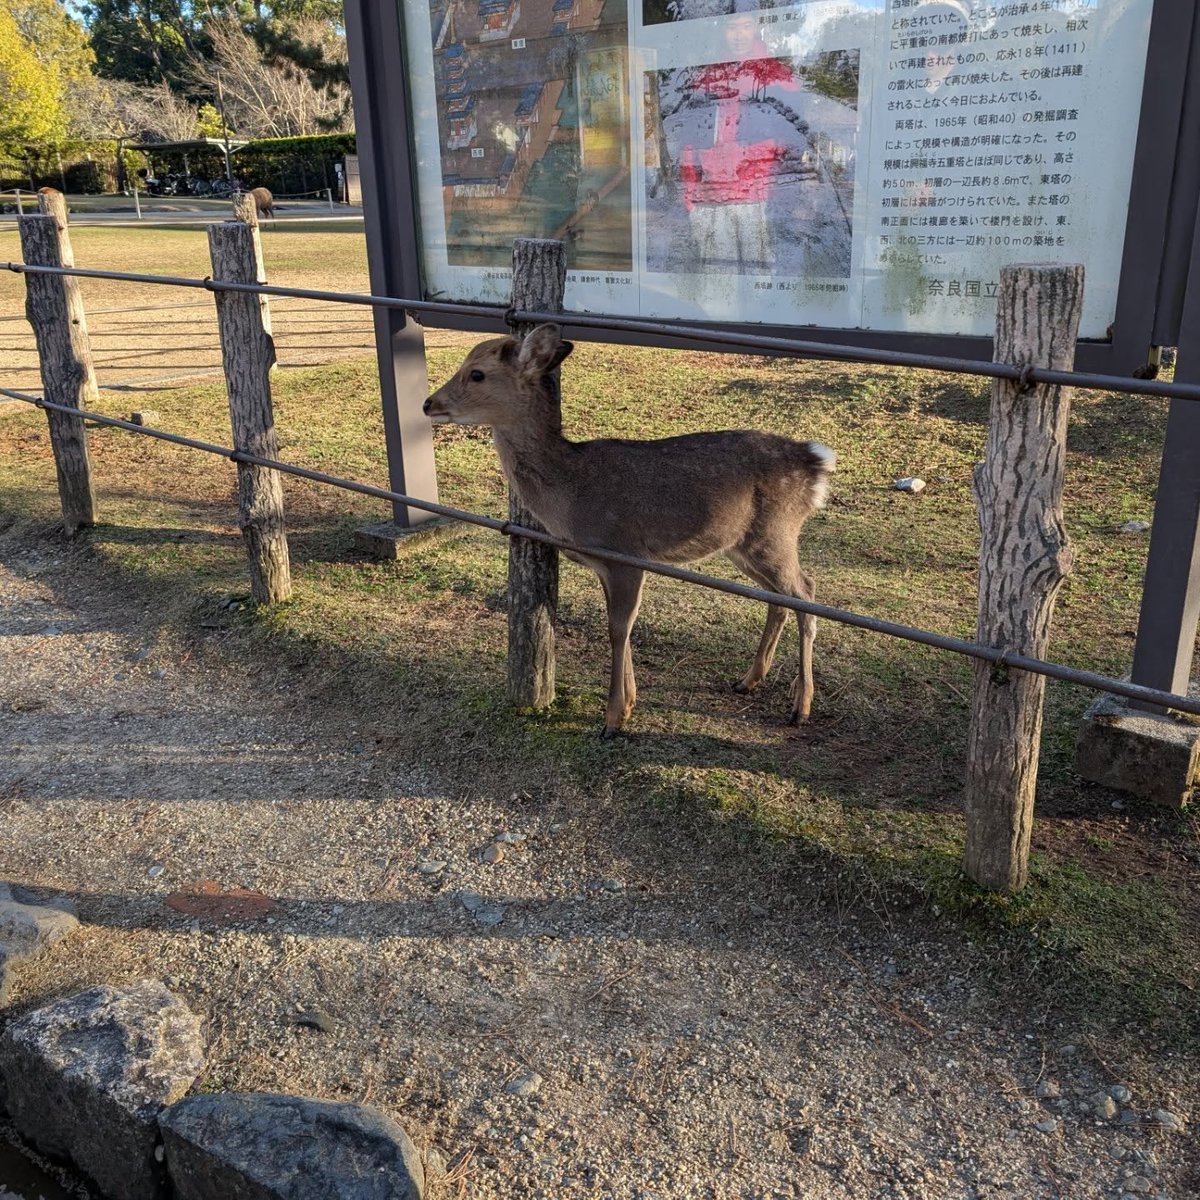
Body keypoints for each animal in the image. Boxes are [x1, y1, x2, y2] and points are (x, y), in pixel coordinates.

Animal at [423, 323, 834, 737]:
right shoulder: (607, 565)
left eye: (476, 373)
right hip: (742, 544)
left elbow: (618, 629)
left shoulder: (625, 553)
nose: (428, 403)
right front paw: (630, 704)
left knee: (807, 591)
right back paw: (748, 681)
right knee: (780, 597)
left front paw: (612, 719)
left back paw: (800, 706)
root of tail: (816, 463)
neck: (570, 494)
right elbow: (621, 625)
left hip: (776, 532)